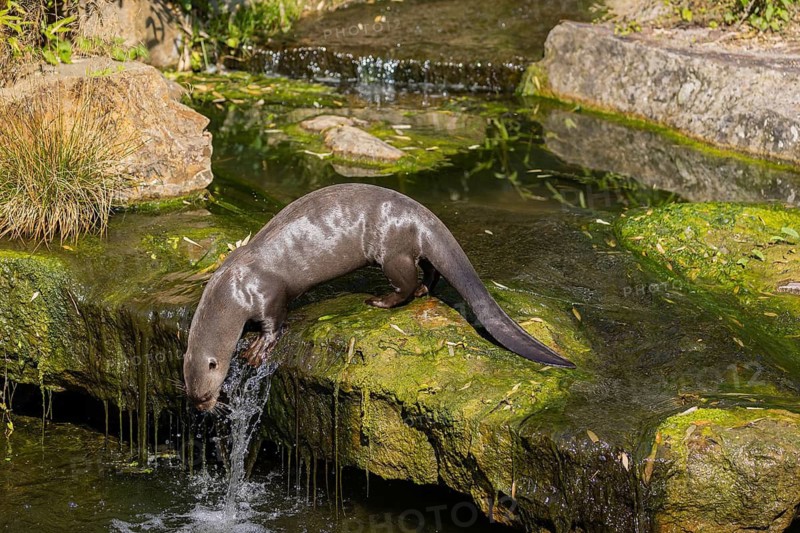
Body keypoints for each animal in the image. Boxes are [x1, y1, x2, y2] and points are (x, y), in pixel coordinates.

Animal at [184, 184, 574, 410]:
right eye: (191, 393)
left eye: (205, 394)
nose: (202, 410)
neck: (233, 288)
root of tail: (424, 214)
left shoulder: (269, 294)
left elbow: (275, 323)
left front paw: (257, 348)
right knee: (429, 270)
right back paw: (424, 290)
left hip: (392, 251)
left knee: (406, 282)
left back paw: (381, 300)